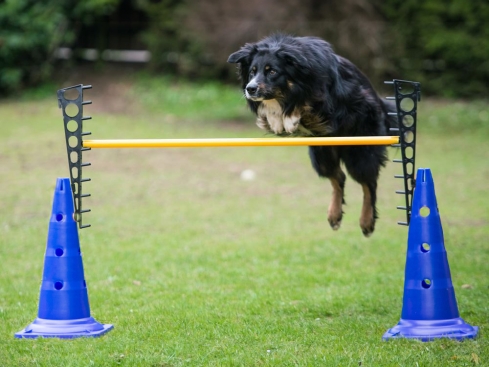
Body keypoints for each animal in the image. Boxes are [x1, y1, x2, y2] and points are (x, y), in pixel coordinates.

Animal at [226, 33, 396, 237]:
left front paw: (290, 118)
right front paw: (277, 121)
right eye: (252, 72)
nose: (250, 89)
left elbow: (305, 103)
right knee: (338, 177)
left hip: (360, 151)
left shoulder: (328, 101)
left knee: (369, 183)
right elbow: (271, 112)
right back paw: (334, 215)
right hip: (321, 155)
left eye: (272, 71)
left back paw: (367, 222)